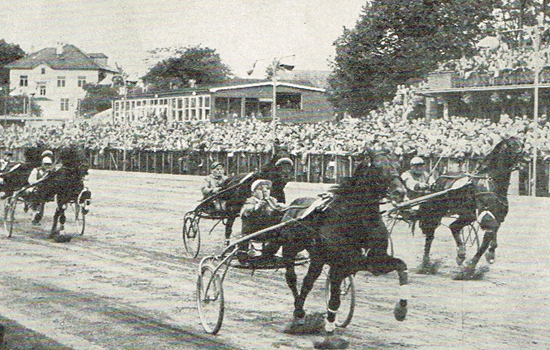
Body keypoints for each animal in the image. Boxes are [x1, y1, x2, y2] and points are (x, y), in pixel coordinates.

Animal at [274, 150, 410, 336]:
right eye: (377, 166)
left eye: (398, 165)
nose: (399, 192)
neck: (357, 220)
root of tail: (292, 207)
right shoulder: (339, 266)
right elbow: (334, 300)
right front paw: (330, 327)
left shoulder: (374, 261)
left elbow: (402, 266)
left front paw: (401, 309)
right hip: (290, 249)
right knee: (292, 279)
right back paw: (299, 314)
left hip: (317, 259)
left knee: (308, 282)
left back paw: (300, 313)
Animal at [418, 135, 532, 274]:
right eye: (511, 145)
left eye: (522, 144)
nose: (527, 158)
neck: (490, 180)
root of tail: (437, 180)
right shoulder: (485, 212)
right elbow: (490, 232)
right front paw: (471, 266)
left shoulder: (498, 216)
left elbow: (492, 233)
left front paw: (489, 255)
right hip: (436, 211)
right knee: (430, 233)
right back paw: (426, 264)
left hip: (467, 214)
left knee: (454, 226)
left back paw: (460, 254)